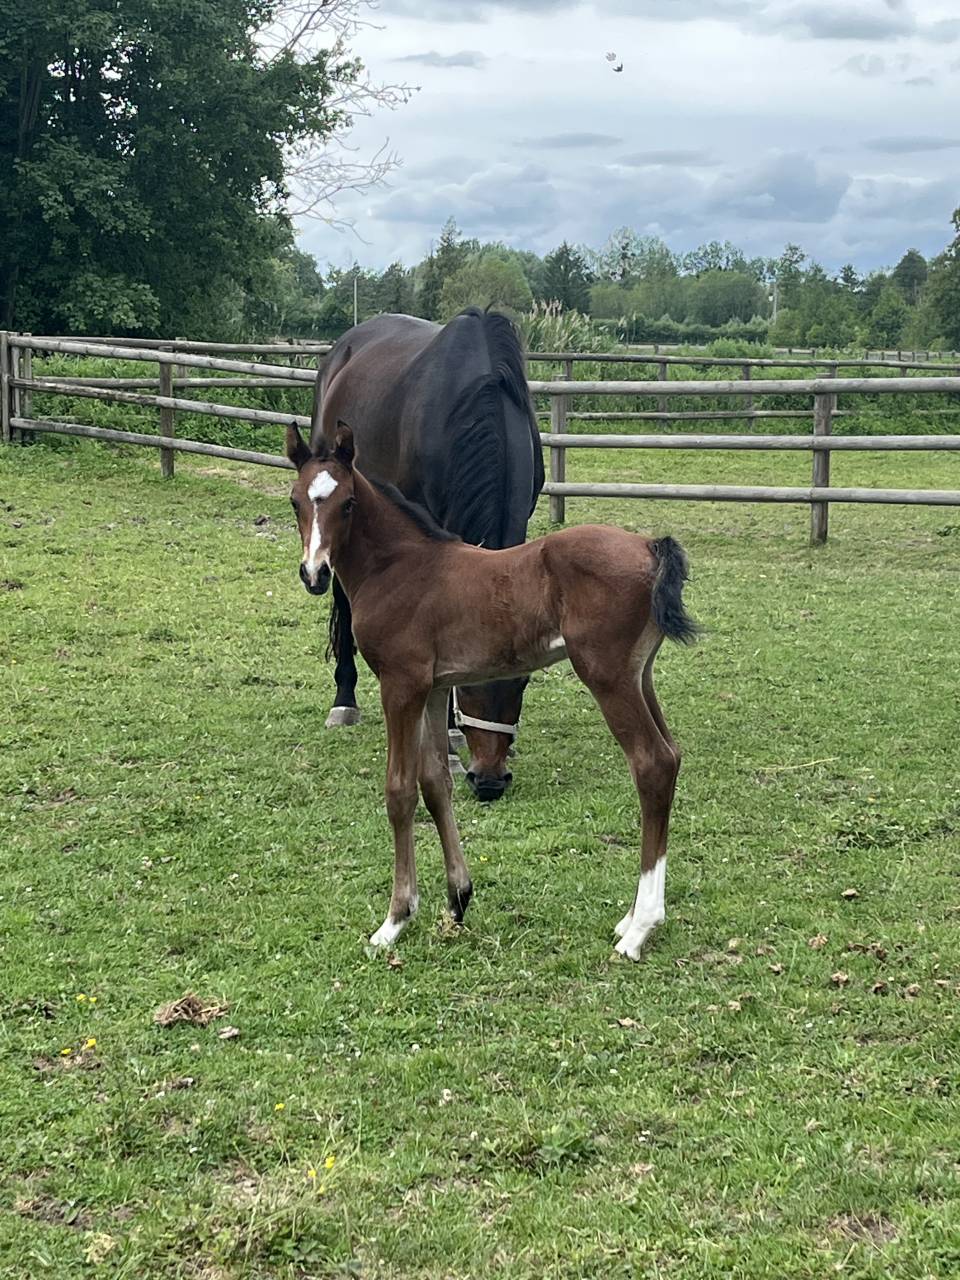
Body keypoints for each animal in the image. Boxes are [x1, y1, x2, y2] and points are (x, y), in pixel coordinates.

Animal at [285, 421, 698, 961]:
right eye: (295, 501)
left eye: (348, 503)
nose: (315, 574)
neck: (399, 567)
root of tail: (650, 546)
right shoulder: (434, 689)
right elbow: (436, 784)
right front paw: (457, 899)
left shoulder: (401, 685)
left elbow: (399, 790)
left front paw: (394, 920)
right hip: (639, 675)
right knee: (671, 755)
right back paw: (631, 918)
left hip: (607, 676)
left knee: (652, 763)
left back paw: (640, 929)